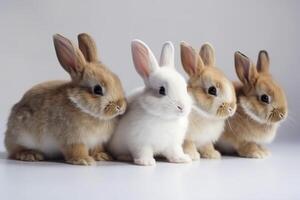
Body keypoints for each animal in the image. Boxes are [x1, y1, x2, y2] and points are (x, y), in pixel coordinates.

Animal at [4, 33, 126, 165]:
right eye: (97, 89)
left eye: (117, 79)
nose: (120, 106)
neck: (82, 107)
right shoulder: (72, 139)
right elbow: (76, 150)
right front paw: (84, 160)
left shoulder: (97, 141)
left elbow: (97, 148)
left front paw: (103, 156)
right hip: (20, 135)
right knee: (15, 150)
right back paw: (30, 155)